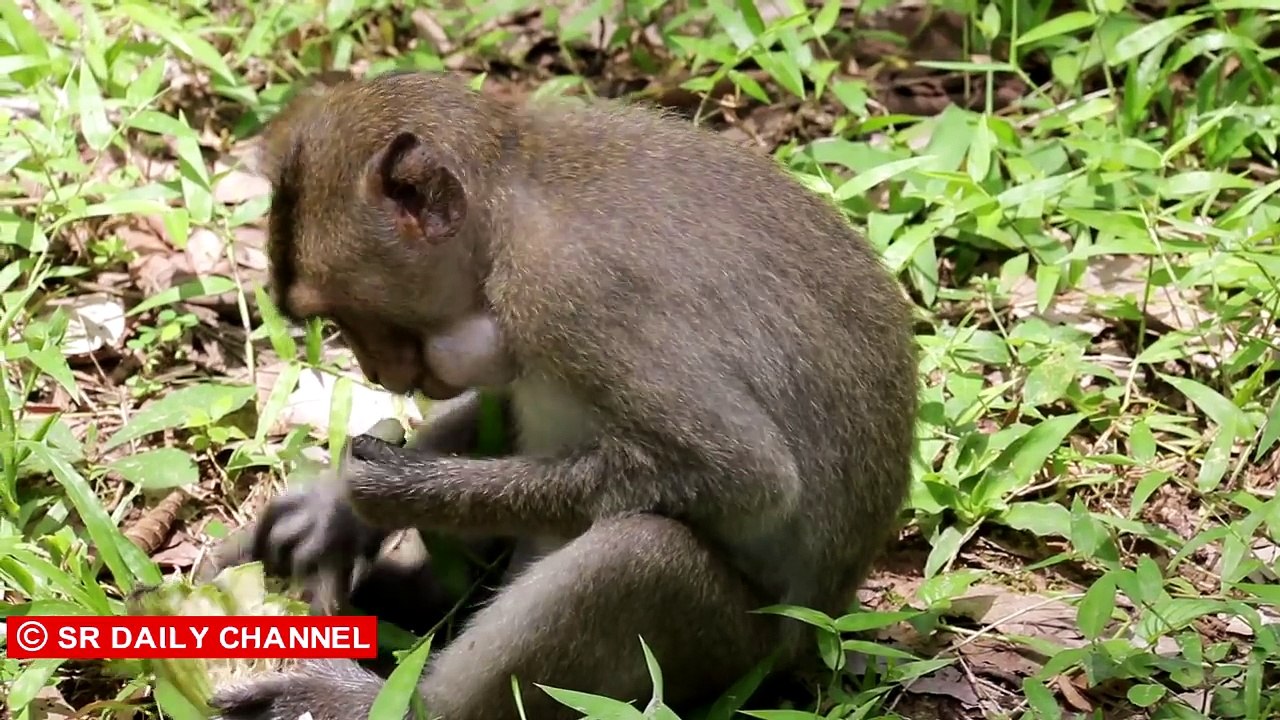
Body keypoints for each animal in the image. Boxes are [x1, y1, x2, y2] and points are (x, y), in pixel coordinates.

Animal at [209, 69, 918, 720]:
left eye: (352, 316)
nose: (378, 371)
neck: (511, 201)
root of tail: (817, 646)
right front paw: (333, 513)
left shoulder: (568, 294)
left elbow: (747, 475)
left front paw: (390, 492)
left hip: (740, 654)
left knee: (640, 555)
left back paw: (389, 703)